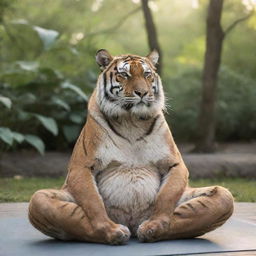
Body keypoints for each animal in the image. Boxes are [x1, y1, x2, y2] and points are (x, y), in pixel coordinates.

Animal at [28, 49, 234, 244]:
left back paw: (151, 230)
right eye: (124, 75)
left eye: (147, 74)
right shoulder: (82, 167)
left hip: (222, 195)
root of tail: (133, 224)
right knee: (55, 207)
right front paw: (108, 229)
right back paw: (116, 232)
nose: (142, 93)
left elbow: (166, 197)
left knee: (212, 201)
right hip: (40, 200)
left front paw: (156, 224)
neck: (132, 121)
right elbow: (93, 202)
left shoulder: (175, 164)